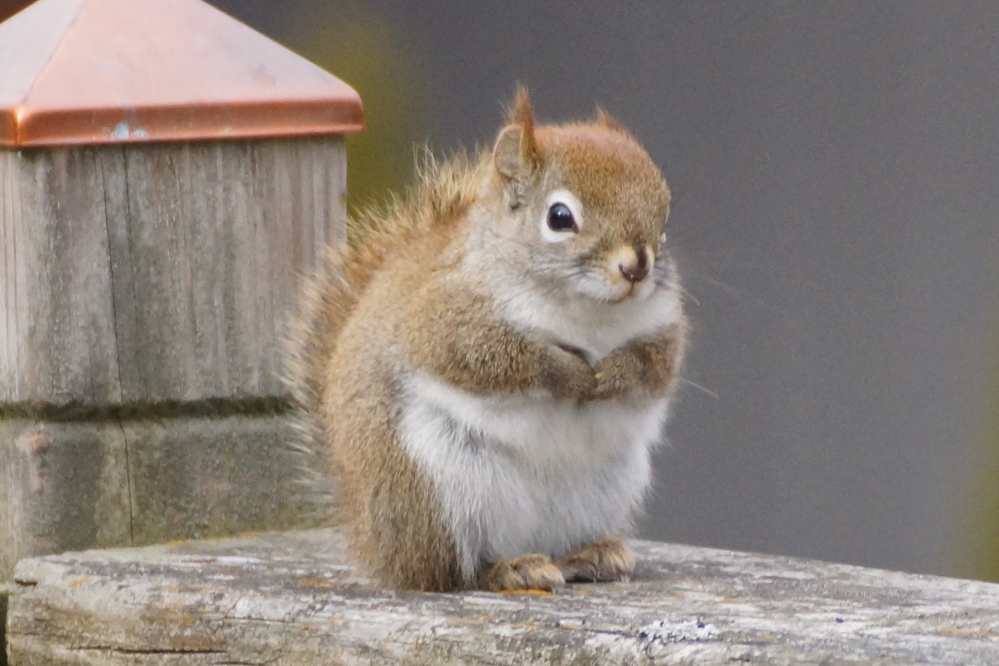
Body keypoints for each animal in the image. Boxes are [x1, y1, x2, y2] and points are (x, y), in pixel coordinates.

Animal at [285, 89, 688, 593]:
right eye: (560, 217)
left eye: (665, 219)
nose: (637, 266)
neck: (589, 313)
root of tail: (375, 542)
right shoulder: (445, 318)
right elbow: (497, 360)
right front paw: (570, 374)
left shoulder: (665, 326)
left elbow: (655, 367)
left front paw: (615, 373)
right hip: (439, 490)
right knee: (452, 571)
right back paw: (510, 568)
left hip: (605, 488)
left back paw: (591, 554)